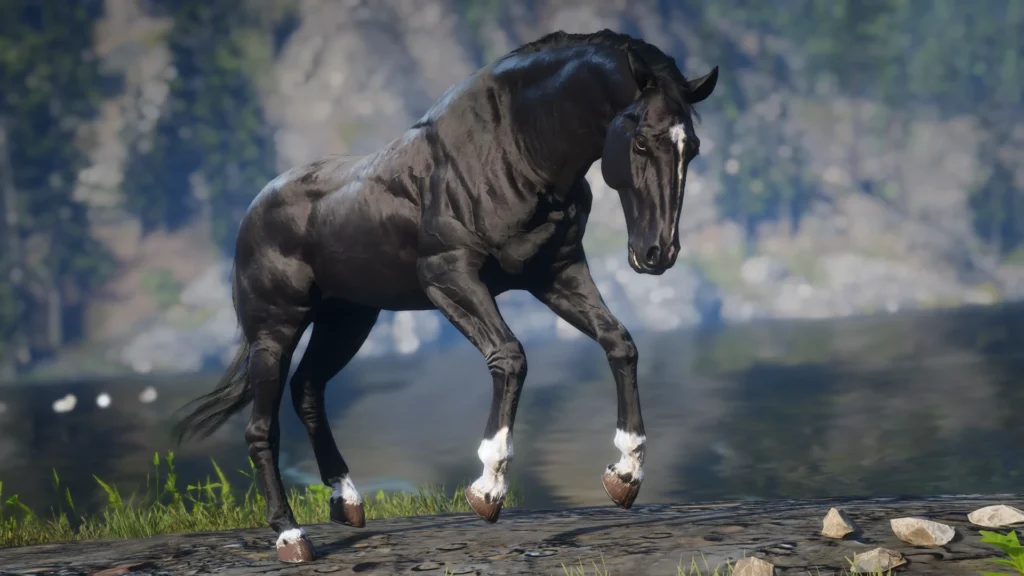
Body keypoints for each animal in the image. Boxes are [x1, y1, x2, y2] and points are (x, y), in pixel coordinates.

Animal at [172, 28, 718, 563]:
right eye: (642, 142)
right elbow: (510, 357)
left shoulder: (556, 272)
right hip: (276, 330)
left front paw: (625, 474)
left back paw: (346, 501)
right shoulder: (448, 276)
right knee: (261, 429)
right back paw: (291, 536)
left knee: (308, 390)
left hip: (348, 319)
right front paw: (488, 489)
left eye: (690, 148)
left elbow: (619, 343)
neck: (514, 149)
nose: (657, 253)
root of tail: (251, 214)